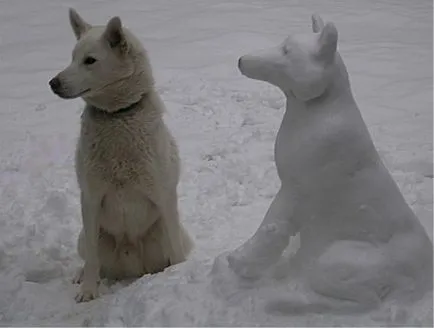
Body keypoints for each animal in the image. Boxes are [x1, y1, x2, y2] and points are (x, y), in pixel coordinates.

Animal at [49, 9, 193, 304]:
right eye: (72, 57)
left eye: (90, 60)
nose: (53, 83)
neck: (116, 116)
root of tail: (131, 263)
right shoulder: (90, 198)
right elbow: (92, 260)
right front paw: (88, 291)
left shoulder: (164, 195)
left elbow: (175, 252)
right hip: (86, 235)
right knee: (91, 259)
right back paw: (81, 275)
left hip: (167, 232)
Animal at [225, 14, 432, 314]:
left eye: (286, 51)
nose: (241, 60)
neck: (315, 111)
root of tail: (424, 277)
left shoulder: (295, 191)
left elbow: (271, 226)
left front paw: (242, 263)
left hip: (335, 261)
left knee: (365, 302)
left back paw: (285, 301)